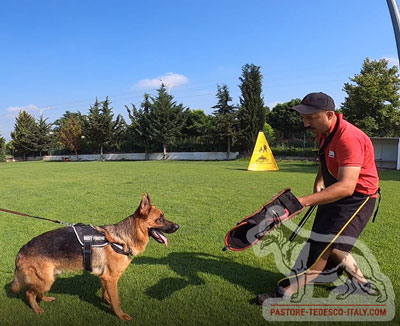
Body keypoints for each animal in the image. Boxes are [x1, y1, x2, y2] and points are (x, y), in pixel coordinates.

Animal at [10, 194, 179, 320]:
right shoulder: (111, 278)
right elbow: (116, 300)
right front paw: (120, 315)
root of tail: (21, 251)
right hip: (46, 280)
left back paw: (45, 299)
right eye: (160, 219)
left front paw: (107, 301)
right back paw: (37, 309)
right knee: (29, 293)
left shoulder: (105, 277)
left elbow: (107, 293)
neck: (122, 239)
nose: (178, 226)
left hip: (50, 278)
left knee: (37, 291)